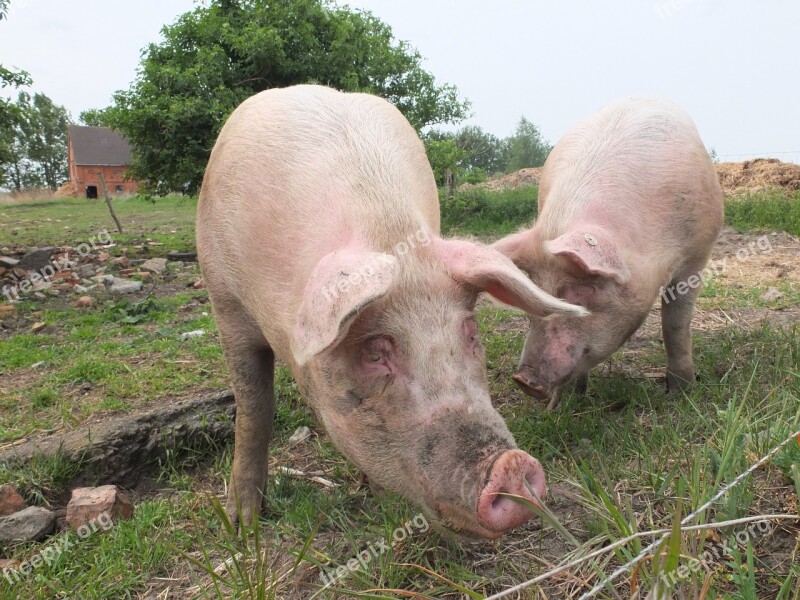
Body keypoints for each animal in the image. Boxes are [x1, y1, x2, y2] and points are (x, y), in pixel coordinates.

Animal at [198, 84, 588, 540]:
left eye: (471, 332)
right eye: (374, 352)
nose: (511, 466)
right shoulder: (226, 303)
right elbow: (254, 409)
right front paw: (242, 527)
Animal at [494, 97, 724, 408]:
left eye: (585, 289)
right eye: (536, 290)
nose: (525, 380)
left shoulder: (697, 254)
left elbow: (675, 324)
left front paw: (682, 393)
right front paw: (563, 405)